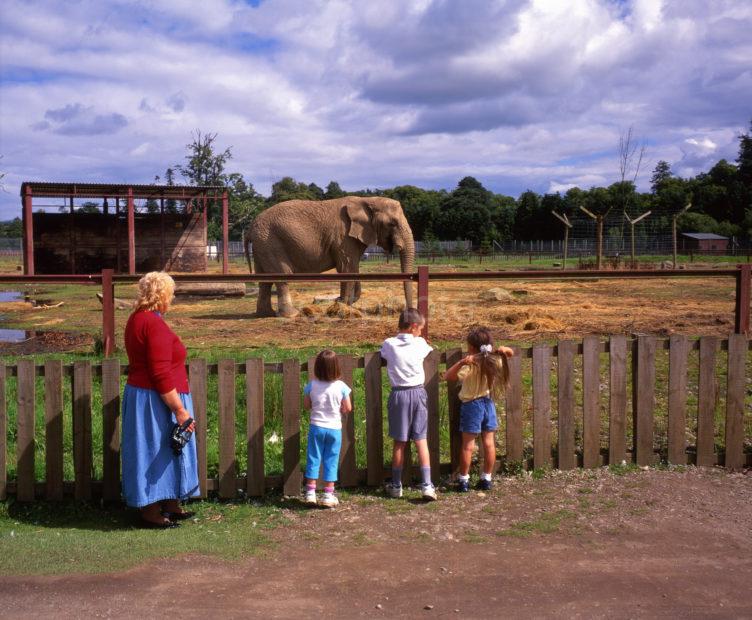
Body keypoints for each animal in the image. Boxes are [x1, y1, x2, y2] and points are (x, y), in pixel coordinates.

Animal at [242, 196, 414, 318]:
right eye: (392, 224)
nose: (406, 312)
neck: (367, 200)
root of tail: (250, 228)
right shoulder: (343, 237)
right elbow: (346, 268)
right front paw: (343, 306)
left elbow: (353, 268)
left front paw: (343, 303)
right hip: (271, 243)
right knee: (281, 276)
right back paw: (292, 314)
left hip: (262, 246)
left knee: (264, 280)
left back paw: (266, 314)